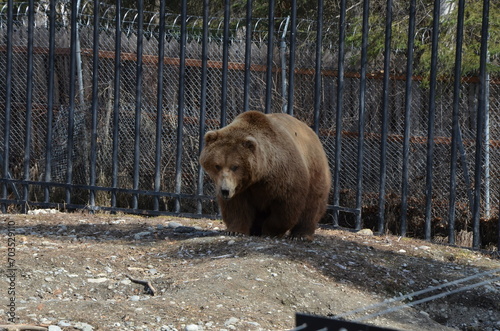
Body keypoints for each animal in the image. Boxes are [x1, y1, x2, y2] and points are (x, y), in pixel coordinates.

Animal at [199, 111, 332, 241]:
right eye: (217, 165)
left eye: (235, 166)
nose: (225, 190)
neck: (261, 174)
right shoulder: (240, 187)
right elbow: (236, 207)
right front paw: (235, 231)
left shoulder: (284, 176)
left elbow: (286, 207)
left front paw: (270, 231)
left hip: (315, 170)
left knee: (312, 205)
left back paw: (301, 235)